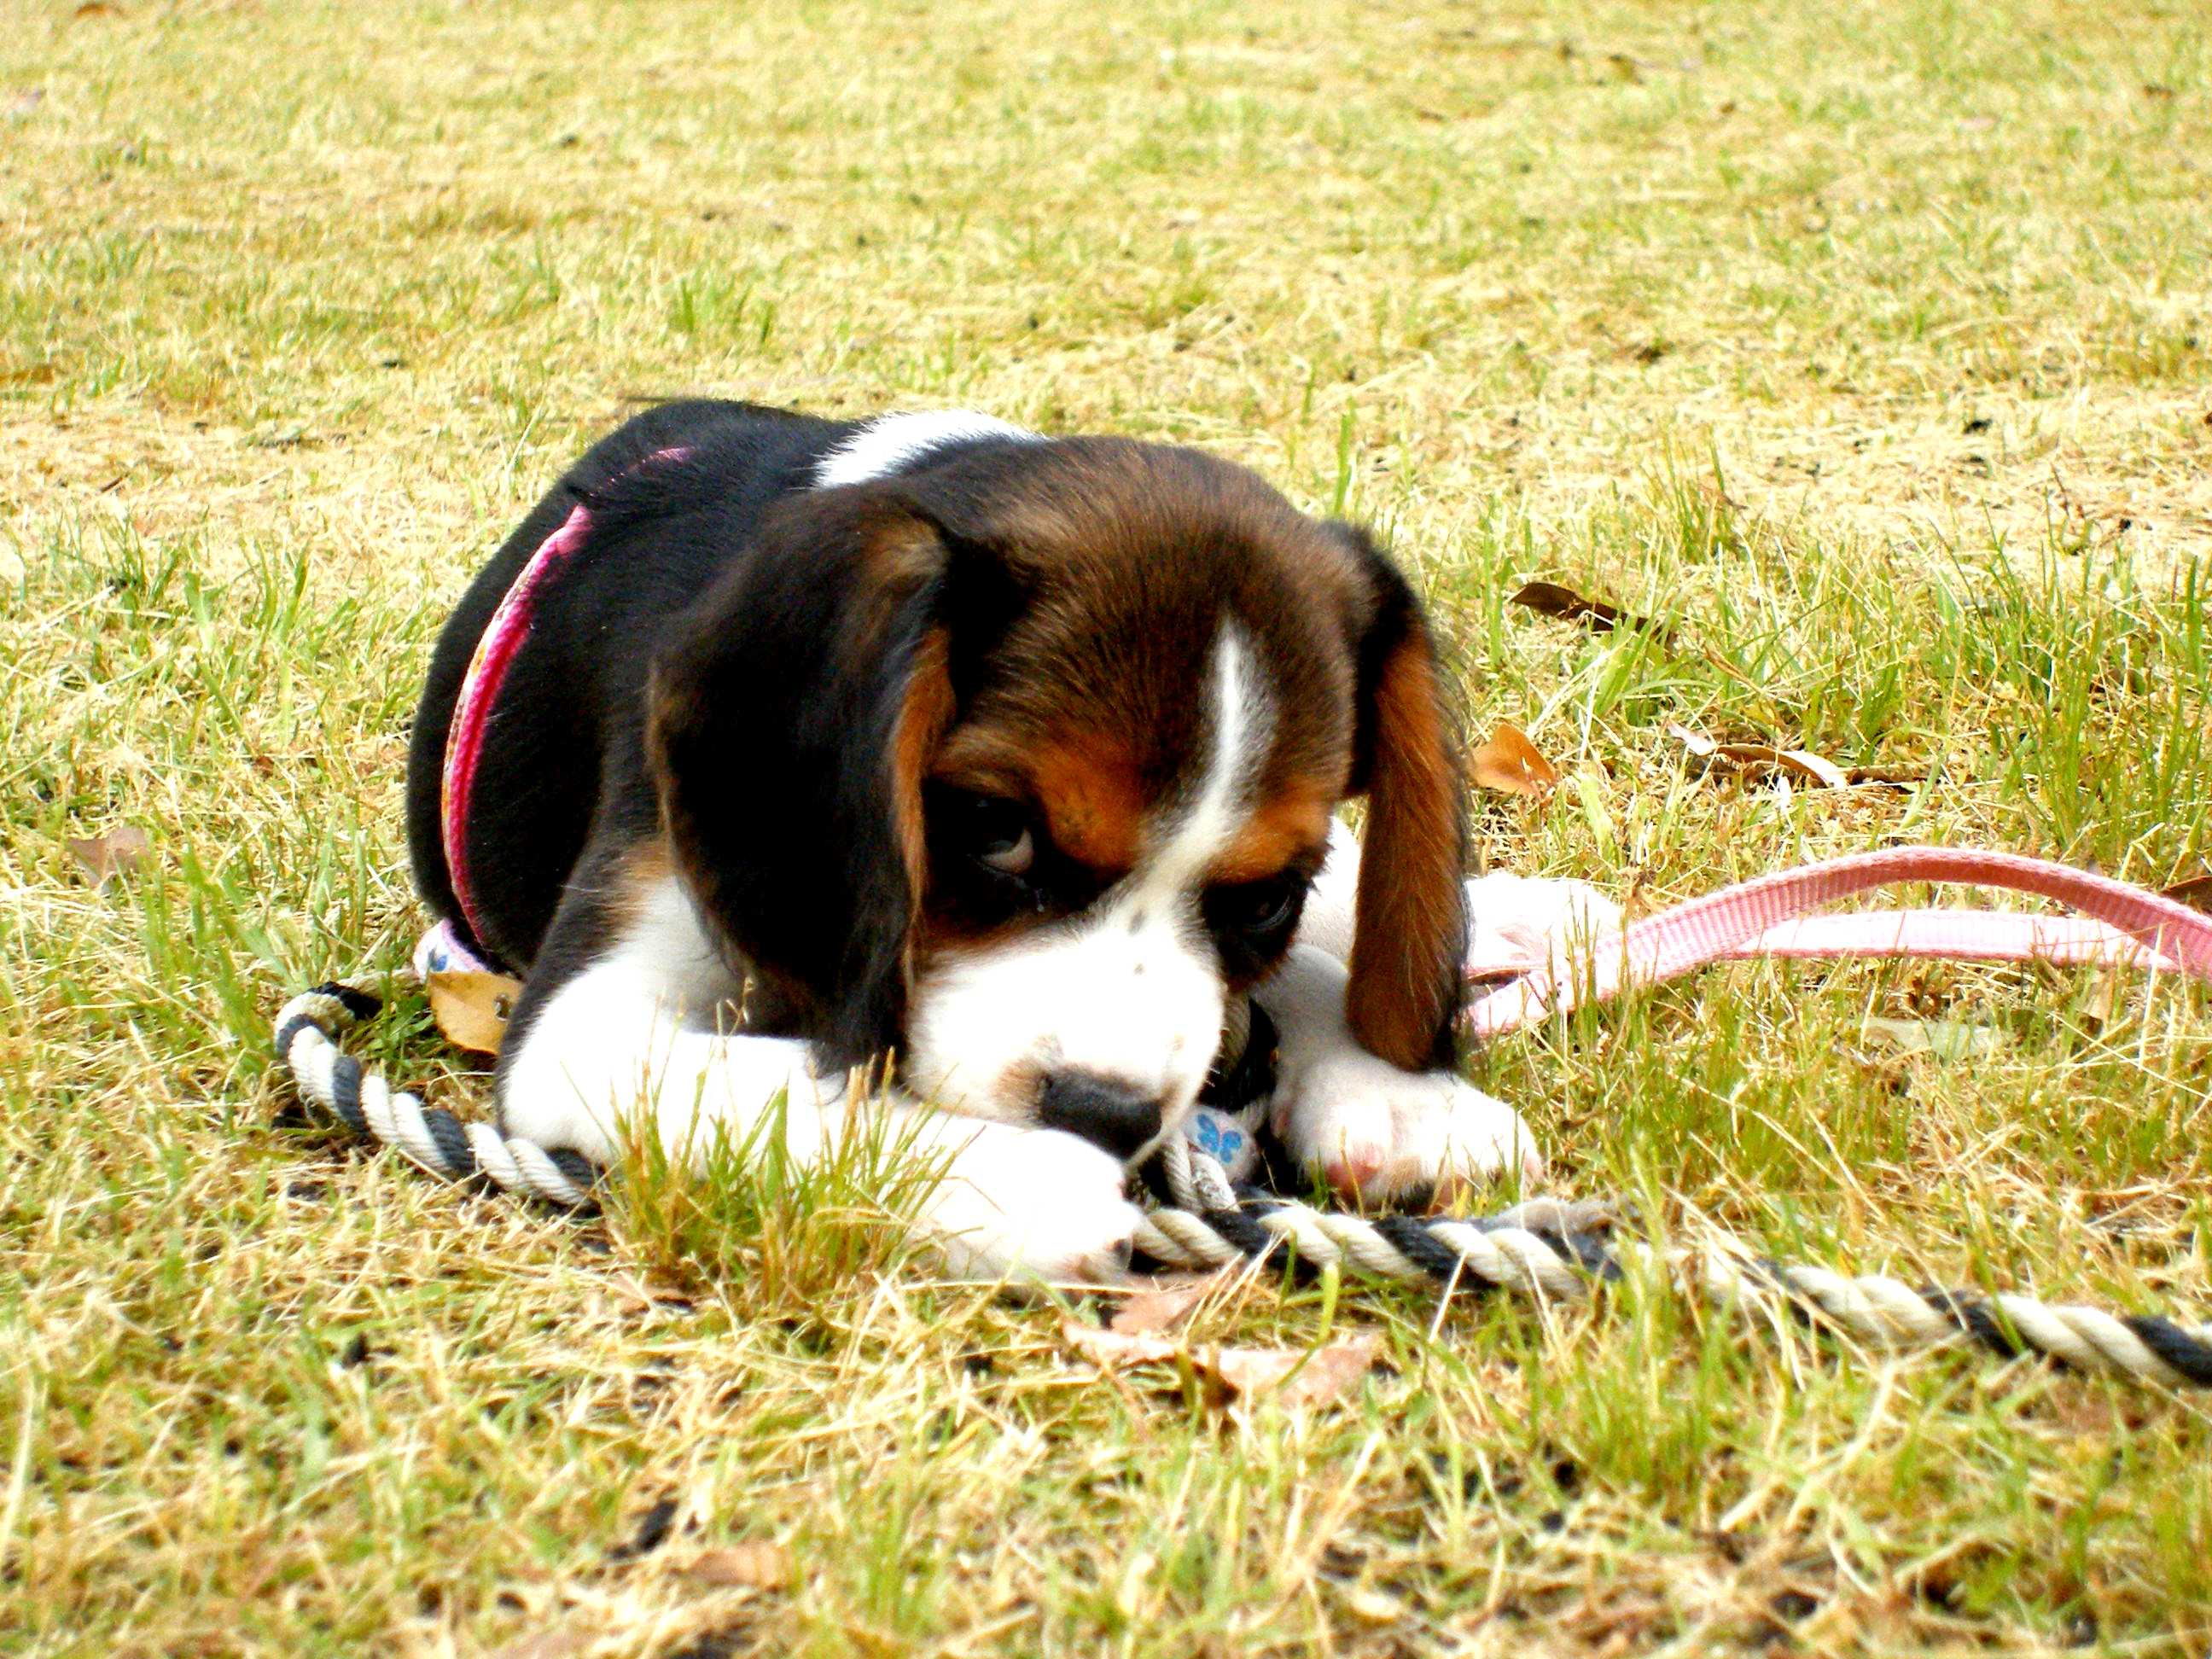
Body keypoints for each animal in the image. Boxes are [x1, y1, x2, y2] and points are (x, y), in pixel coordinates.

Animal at [402, 402, 1540, 1283]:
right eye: (996, 828)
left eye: (1265, 898)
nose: (1105, 1116)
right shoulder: (575, 1028)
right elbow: (792, 1086)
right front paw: (1004, 1176)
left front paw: (1389, 1087)